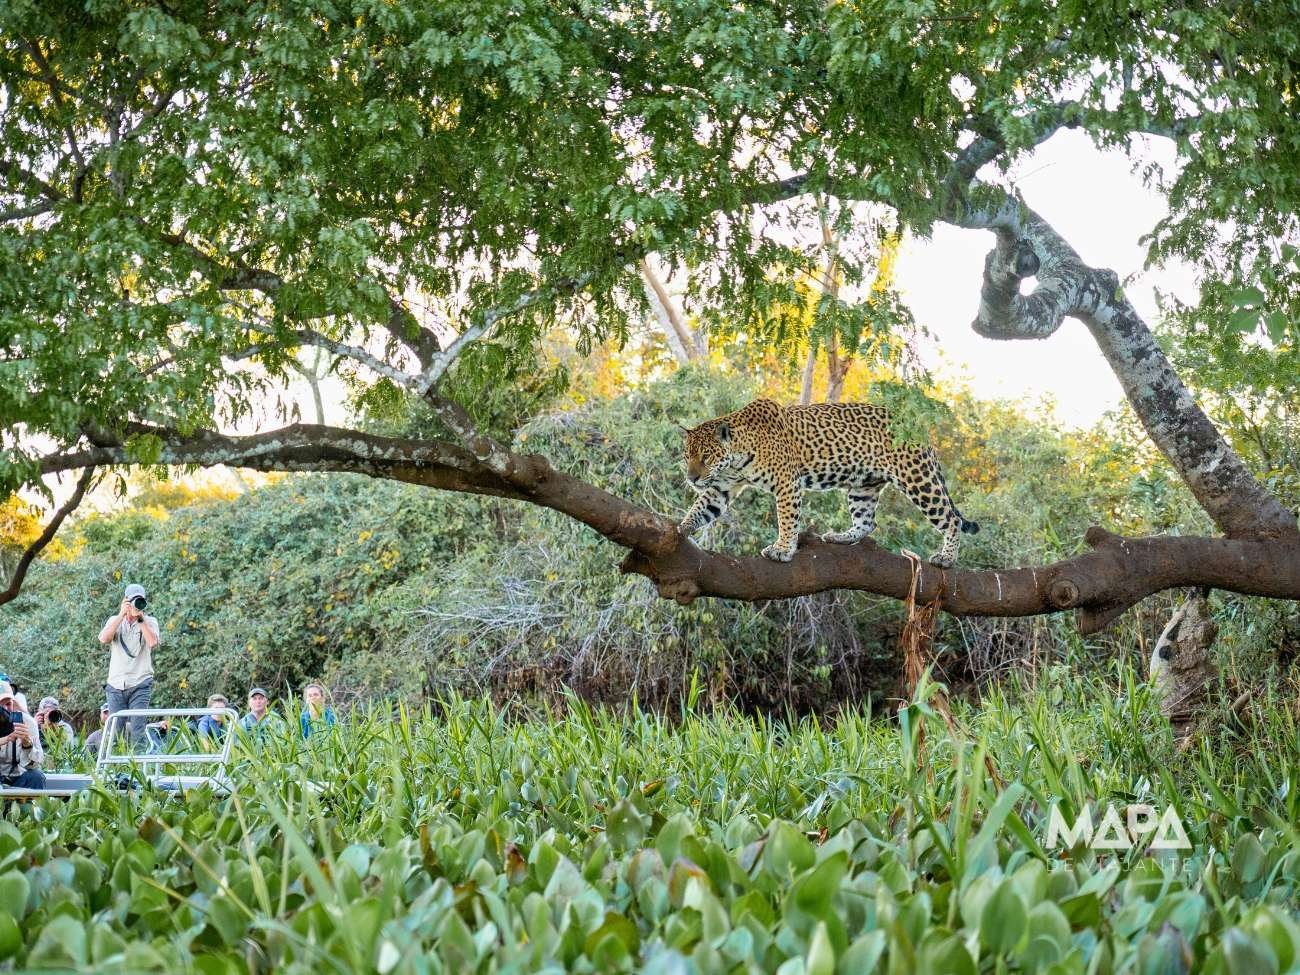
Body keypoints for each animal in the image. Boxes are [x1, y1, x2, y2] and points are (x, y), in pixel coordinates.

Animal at [677, 397, 980, 567]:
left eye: (706, 457)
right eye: (687, 456)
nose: (691, 478)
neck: (738, 455)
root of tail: (917, 427)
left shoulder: (787, 483)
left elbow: (787, 519)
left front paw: (782, 550)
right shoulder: (721, 487)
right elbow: (701, 509)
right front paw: (681, 529)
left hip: (919, 479)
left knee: (951, 519)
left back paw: (946, 559)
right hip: (863, 486)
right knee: (867, 521)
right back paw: (841, 537)